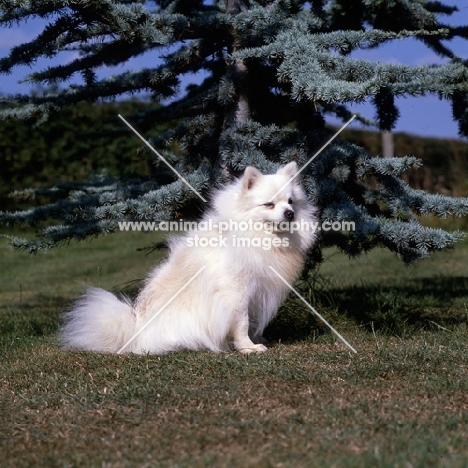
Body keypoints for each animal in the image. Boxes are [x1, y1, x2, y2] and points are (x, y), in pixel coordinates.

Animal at [61, 163, 318, 352]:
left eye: (291, 202)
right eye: (269, 204)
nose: (289, 213)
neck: (258, 236)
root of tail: (135, 331)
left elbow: (251, 322)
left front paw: (257, 340)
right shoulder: (236, 292)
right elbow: (242, 322)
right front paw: (248, 347)